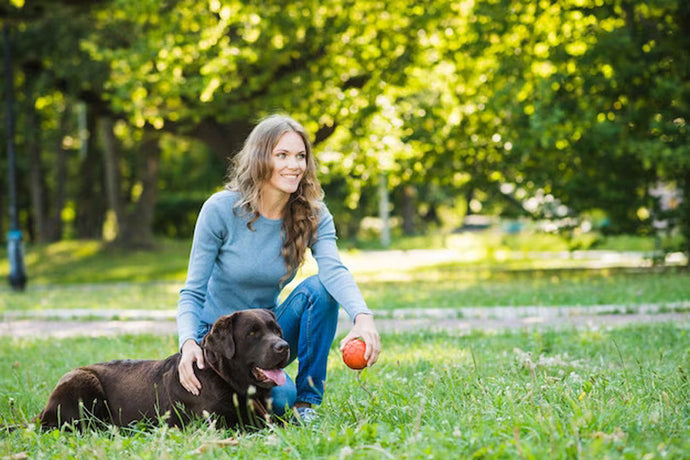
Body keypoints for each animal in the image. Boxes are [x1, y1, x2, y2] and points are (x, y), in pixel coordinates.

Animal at [36, 310, 288, 432]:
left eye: (277, 330)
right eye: (252, 333)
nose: (284, 346)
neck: (224, 377)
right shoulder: (216, 424)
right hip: (83, 381)